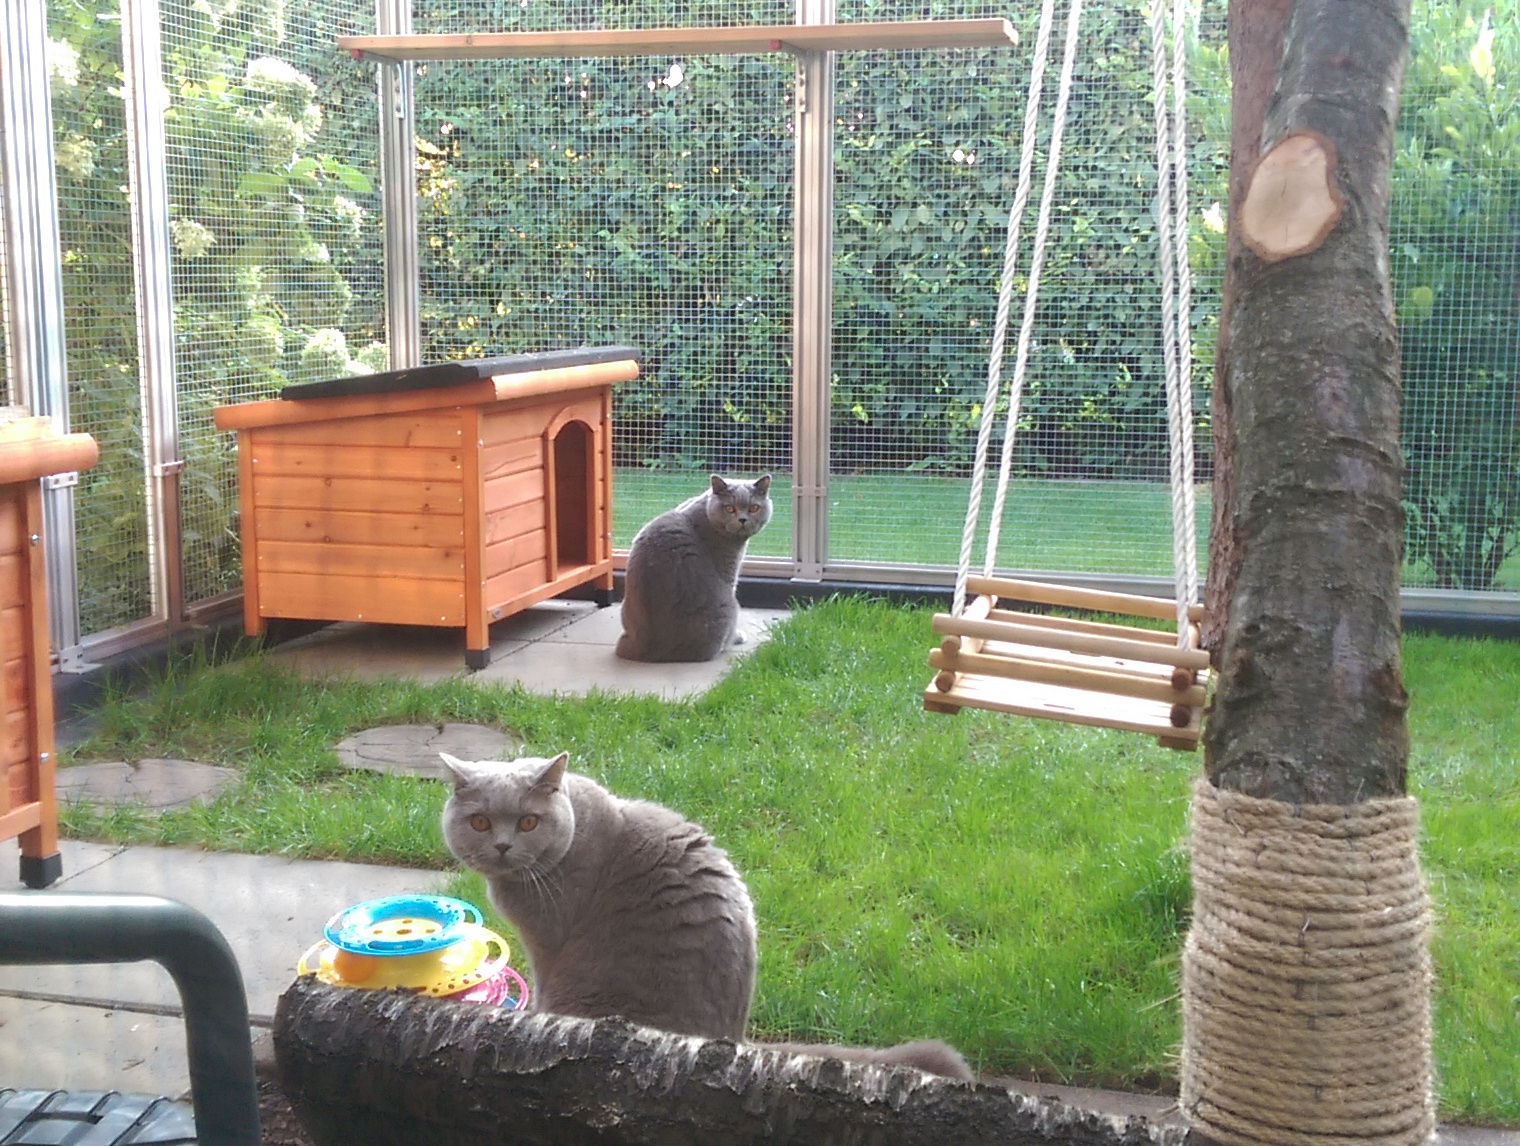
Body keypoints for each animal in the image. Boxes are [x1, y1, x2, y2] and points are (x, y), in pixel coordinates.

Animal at [615, 474, 772, 663]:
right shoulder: (729, 572)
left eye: (754, 508)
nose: (742, 519)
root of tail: (644, 649)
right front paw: (738, 636)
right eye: (730, 508)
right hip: (730, 606)